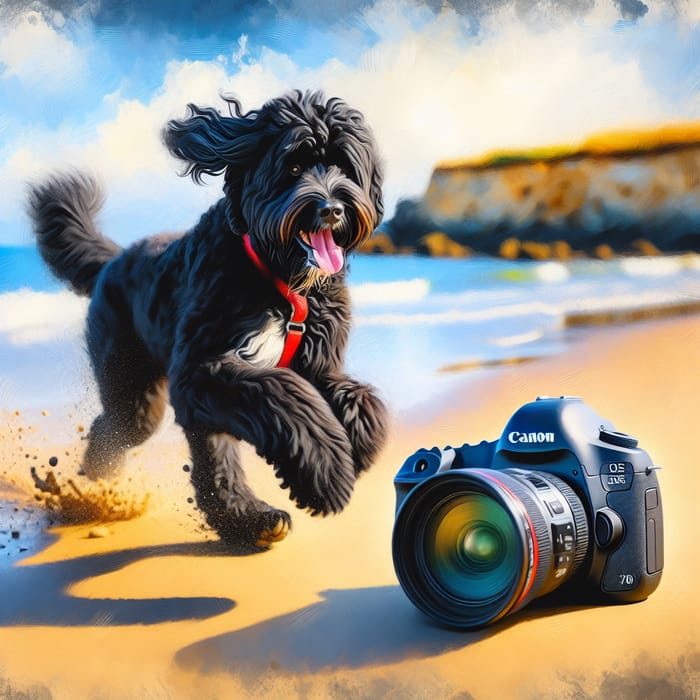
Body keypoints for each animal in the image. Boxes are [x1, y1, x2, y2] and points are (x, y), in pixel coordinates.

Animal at [27, 89, 388, 548]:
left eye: (344, 166)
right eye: (292, 166)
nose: (332, 209)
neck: (281, 282)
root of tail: (114, 260)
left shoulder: (317, 363)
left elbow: (358, 395)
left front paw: (358, 443)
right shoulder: (204, 369)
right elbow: (287, 396)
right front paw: (325, 474)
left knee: (207, 456)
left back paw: (247, 519)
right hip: (134, 389)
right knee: (120, 429)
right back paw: (101, 482)